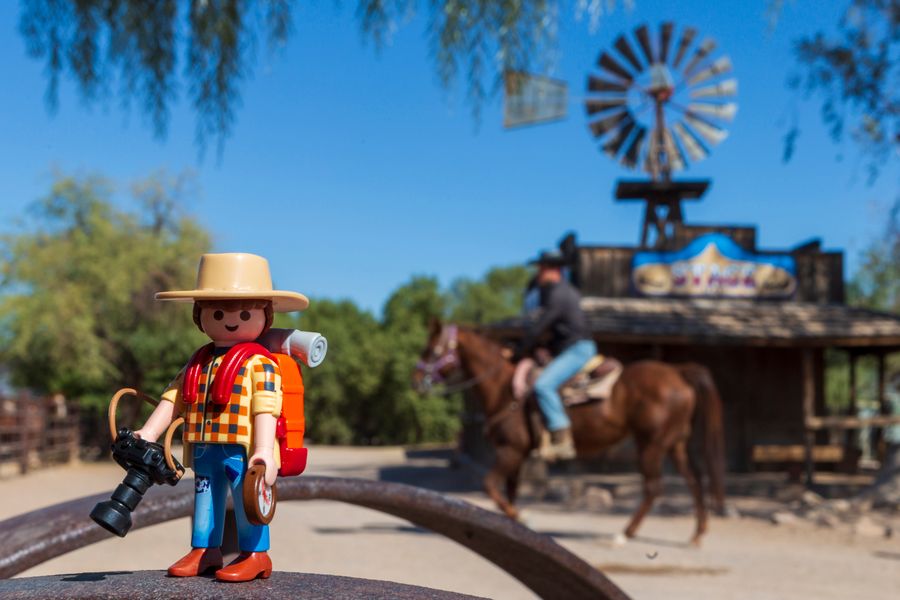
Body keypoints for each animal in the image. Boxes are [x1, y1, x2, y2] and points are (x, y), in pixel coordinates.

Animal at [414, 322, 724, 548]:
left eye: (431, 349)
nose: (415, 379)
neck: (504, 389)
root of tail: (678, 373)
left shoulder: (510, 450)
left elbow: (490, 485)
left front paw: (525, 518)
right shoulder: (517, 455)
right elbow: (509, 492)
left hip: (651, 444)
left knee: (653, 487)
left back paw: (624, 534)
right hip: (675, 443)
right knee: (694, 481)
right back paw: (697, 534)